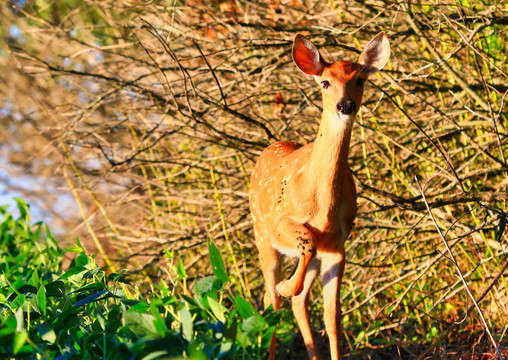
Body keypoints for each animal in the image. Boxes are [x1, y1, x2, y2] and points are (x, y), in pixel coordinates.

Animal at [248, 31, 390, 360]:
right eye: (325, 82)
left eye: (360, 80)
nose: (345, 105)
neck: (322, 204)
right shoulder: (280, 221)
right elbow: (306, 241)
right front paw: (286, 286)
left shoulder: (338, 245)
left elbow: (332, 316)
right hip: (262, 235)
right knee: (270, 300)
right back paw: (281, 292)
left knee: (298, 302)